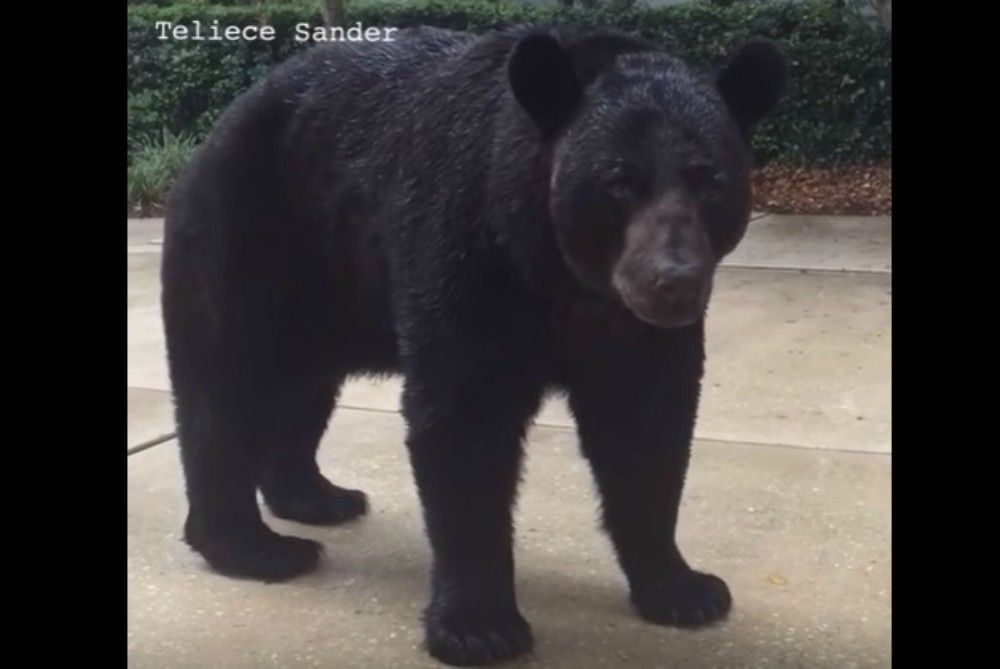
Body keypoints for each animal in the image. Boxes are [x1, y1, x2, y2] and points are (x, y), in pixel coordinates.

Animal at [161, 24, 785, 666]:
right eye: (619, 183)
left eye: (711, 182)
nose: (674, 280)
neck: (564, 282)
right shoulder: (466, 254)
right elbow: (466, 428)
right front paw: (478, 625)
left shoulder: (634, 334)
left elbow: (648, 429)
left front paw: (683, 589)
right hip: (246, 239)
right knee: (222, 388)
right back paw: (254, 546)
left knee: (302, 392)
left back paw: (315, 496)